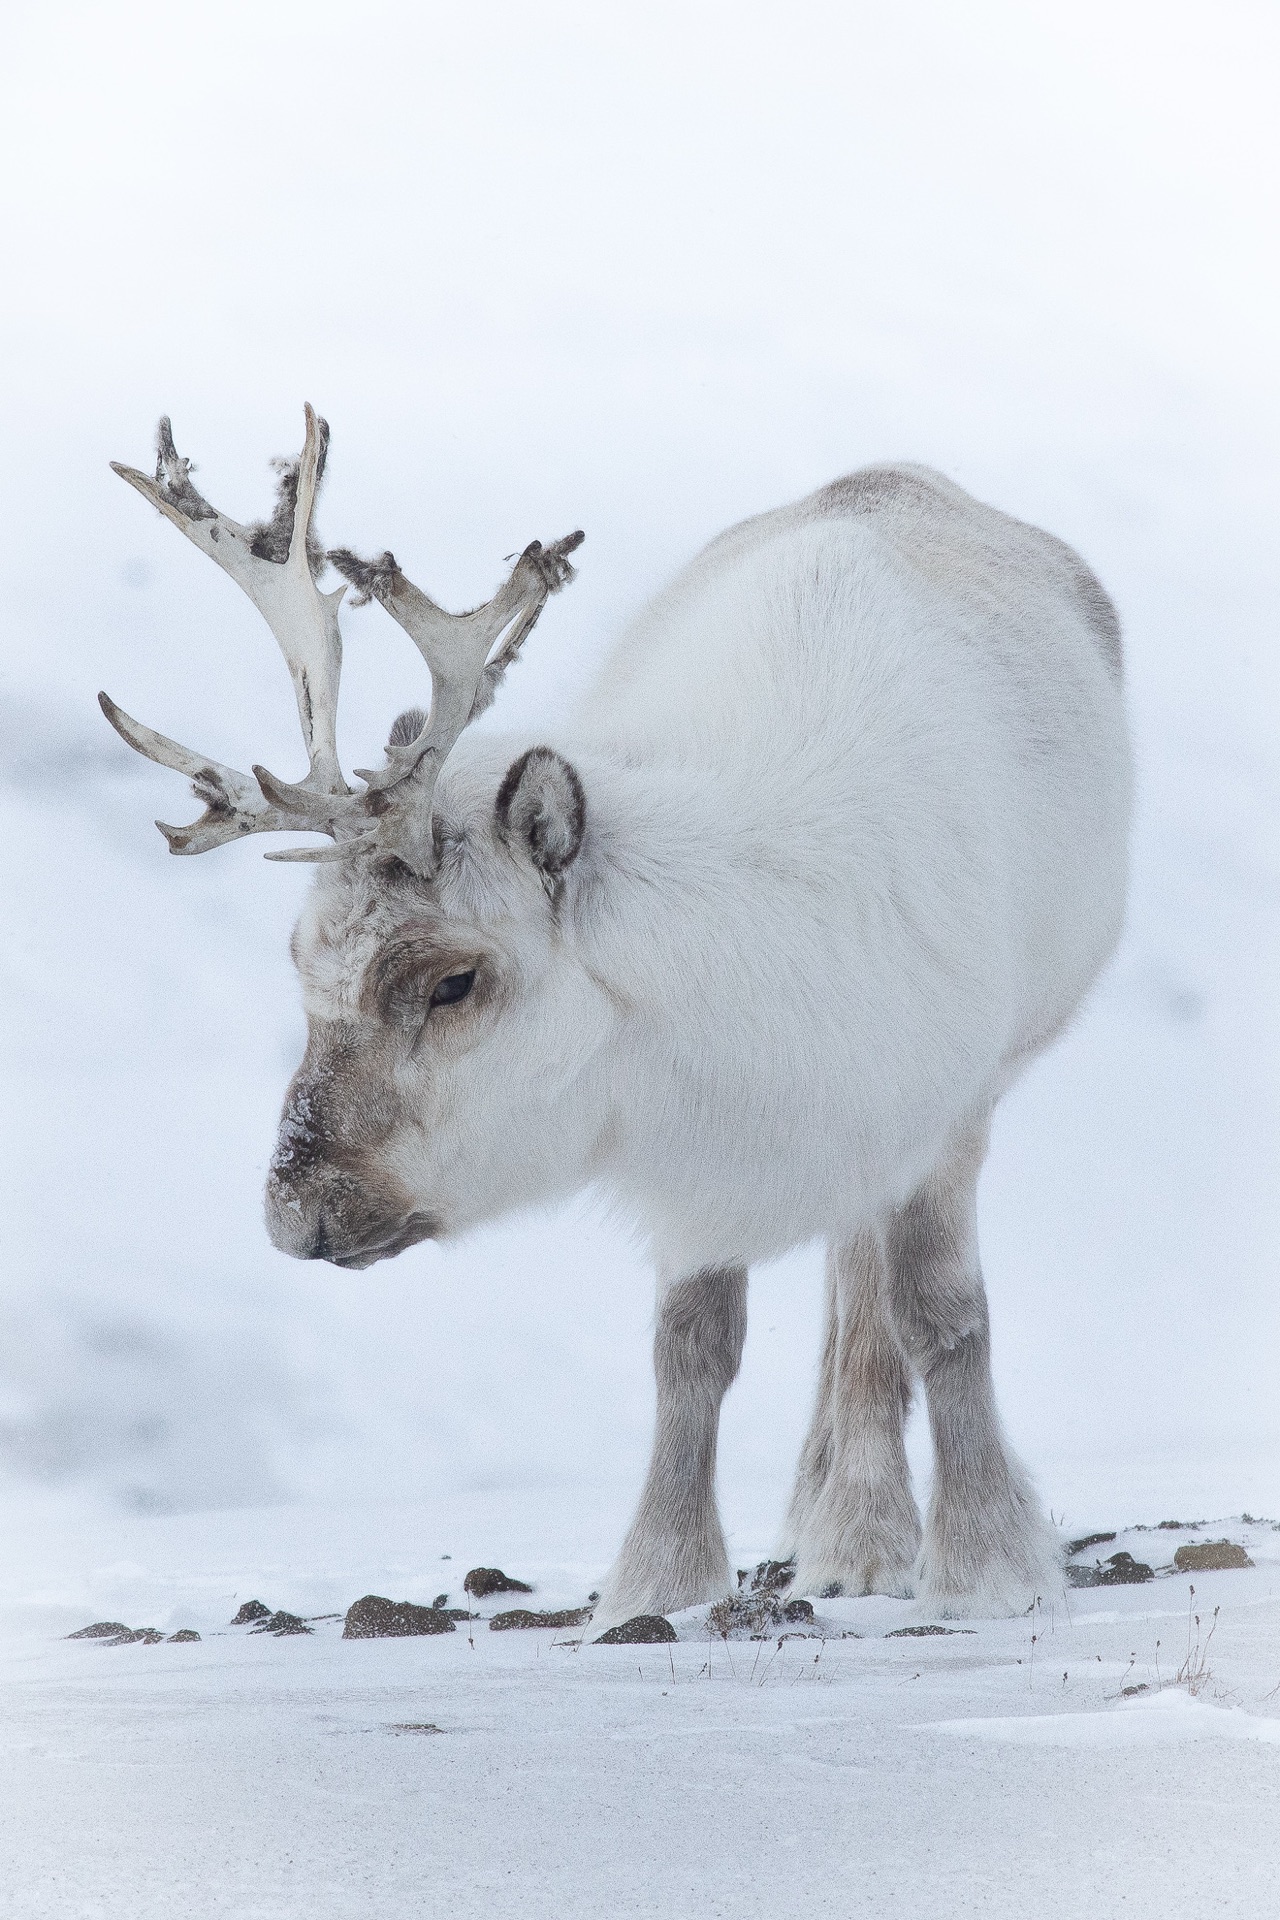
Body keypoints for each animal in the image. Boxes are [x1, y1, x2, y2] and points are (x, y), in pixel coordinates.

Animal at [102, 407, 1130, 1631]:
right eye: (301, 963)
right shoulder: (696, 1154)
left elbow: (942, 1316)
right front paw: (660, 1579)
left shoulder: (939, 1107)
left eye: (453, 981)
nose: (293, 1220)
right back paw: (843, 1529)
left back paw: (862, 1531)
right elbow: (691, 1352)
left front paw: (989, 1568)